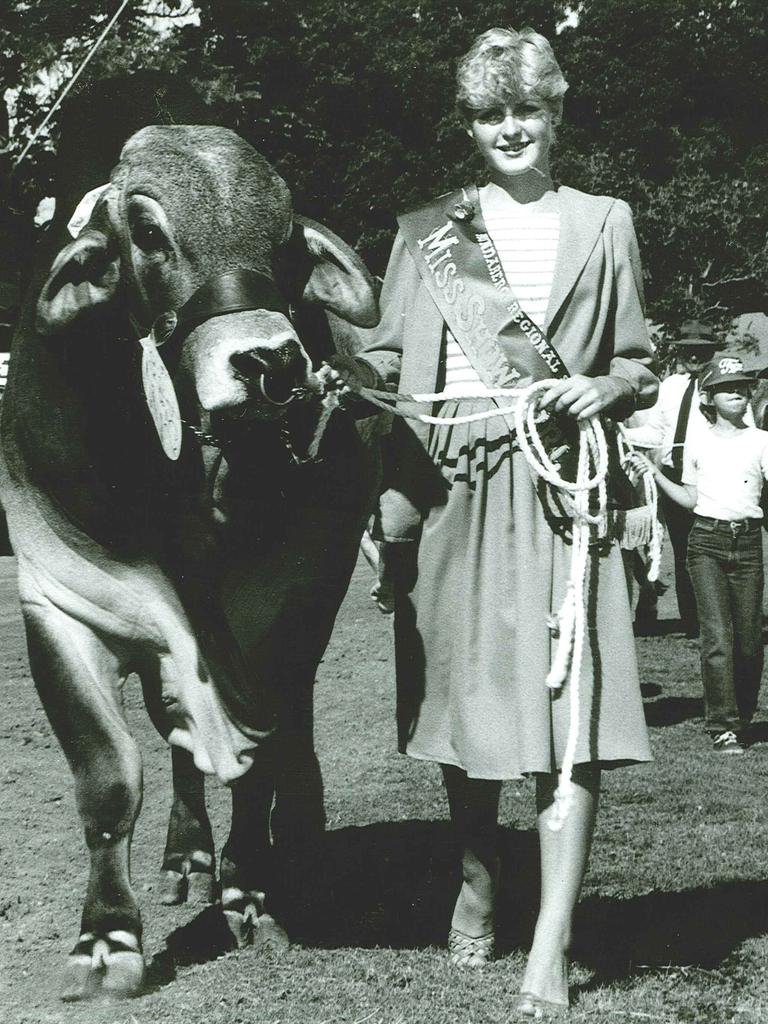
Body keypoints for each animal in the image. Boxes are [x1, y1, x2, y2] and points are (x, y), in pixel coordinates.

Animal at [0, 125, 382, 999]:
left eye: (286, 240)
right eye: (146, 233)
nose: (271, 364)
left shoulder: (288, 604)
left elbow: (261, 754)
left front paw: (250, 895)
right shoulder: (62, 601)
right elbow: (109, 774)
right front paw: (106, 941)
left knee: (289, 726)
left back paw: (294, 834)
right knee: (175, 736)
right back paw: (185, 857)